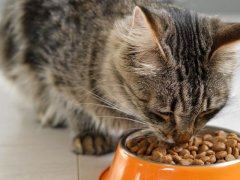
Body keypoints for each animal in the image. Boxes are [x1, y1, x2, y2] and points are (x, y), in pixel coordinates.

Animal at [0, 0, 240, 155]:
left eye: (206, 113)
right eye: (163, 114)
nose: (183, 140)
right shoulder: (46, 61)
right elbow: (70, 103)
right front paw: (88, 132)